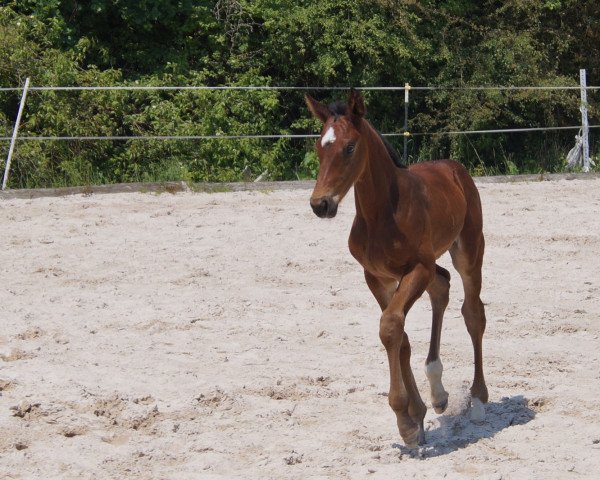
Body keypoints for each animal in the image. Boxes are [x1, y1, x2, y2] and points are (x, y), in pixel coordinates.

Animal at [304, 89, 488, 446]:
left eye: (350, 146)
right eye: (319, 147)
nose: (321, 204)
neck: (383, 214)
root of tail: (453, 167)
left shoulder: (417, 269)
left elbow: (390, 326)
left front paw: (405, 421)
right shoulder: (377, 277)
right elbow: (399, 336)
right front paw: (416, 417)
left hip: (469, 252)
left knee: (473, 313)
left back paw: (478, 399)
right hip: (432, 266)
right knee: (442, 286)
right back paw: (438, 392)